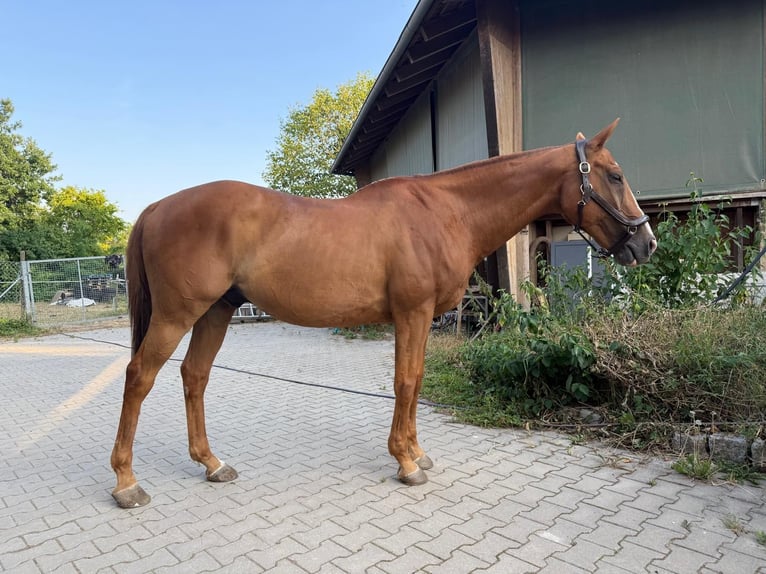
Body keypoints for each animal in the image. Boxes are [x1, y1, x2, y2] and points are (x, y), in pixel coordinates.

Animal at [110, 119, 656, 508]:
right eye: (615, 176)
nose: (646, 243)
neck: (443, 212)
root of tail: (156, 207)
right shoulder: (411, 313)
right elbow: (406, 383)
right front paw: (405, 463)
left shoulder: (419, 318)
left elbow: (415, 380)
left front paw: (416, 453)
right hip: (178, 314)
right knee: (139, 377)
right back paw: (126, 482)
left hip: (215, 312)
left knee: (194, 376)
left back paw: (211, 463)